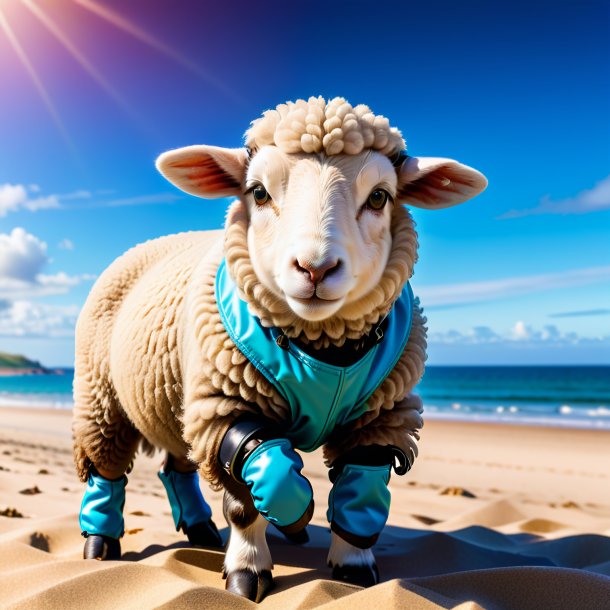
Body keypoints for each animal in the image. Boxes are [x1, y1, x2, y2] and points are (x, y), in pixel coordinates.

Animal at [72, 96, 484, 600]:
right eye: (258, 192)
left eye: (379, 197)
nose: (315, 268)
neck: (323, 350)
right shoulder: (229, 406)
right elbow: (260, 483)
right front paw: (251, 566)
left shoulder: (381, 415)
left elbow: (362, 487)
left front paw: (352, 566)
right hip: (101, 396)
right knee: (106, 468)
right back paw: (100, 543)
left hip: (177, 397)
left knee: (177, 465)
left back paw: (200, 530)